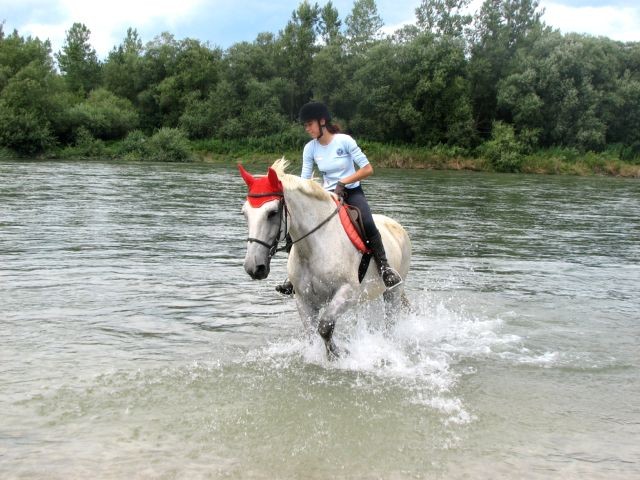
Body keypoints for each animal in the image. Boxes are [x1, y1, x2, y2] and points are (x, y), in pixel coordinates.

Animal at [239, 159, 410, 358]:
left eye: (272, 212)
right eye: (245, 213)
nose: (253, 267)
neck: (314, 248)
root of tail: (398, 226)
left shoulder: (348, 293)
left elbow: (325, 327)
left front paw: (338, 354)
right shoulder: (304, 301)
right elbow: (312, 334)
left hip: (393, 292)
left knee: (391, 322)